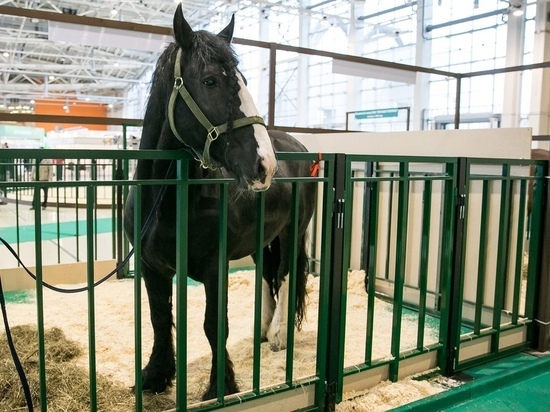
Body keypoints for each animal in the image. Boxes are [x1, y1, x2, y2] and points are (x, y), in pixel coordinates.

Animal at [123, 4, 316, 400]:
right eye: (210, 81)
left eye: (242, 81)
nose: (265, 164)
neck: (166, 203)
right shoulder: (151, 268)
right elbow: (159, 319)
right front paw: (156, 376)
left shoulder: (215, 268)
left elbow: (214, 325)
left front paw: (220, 386)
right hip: (262, 240)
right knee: (266, 274)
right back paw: (262, 330)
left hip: (293, 231)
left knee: (287, 273)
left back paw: (278, 335)